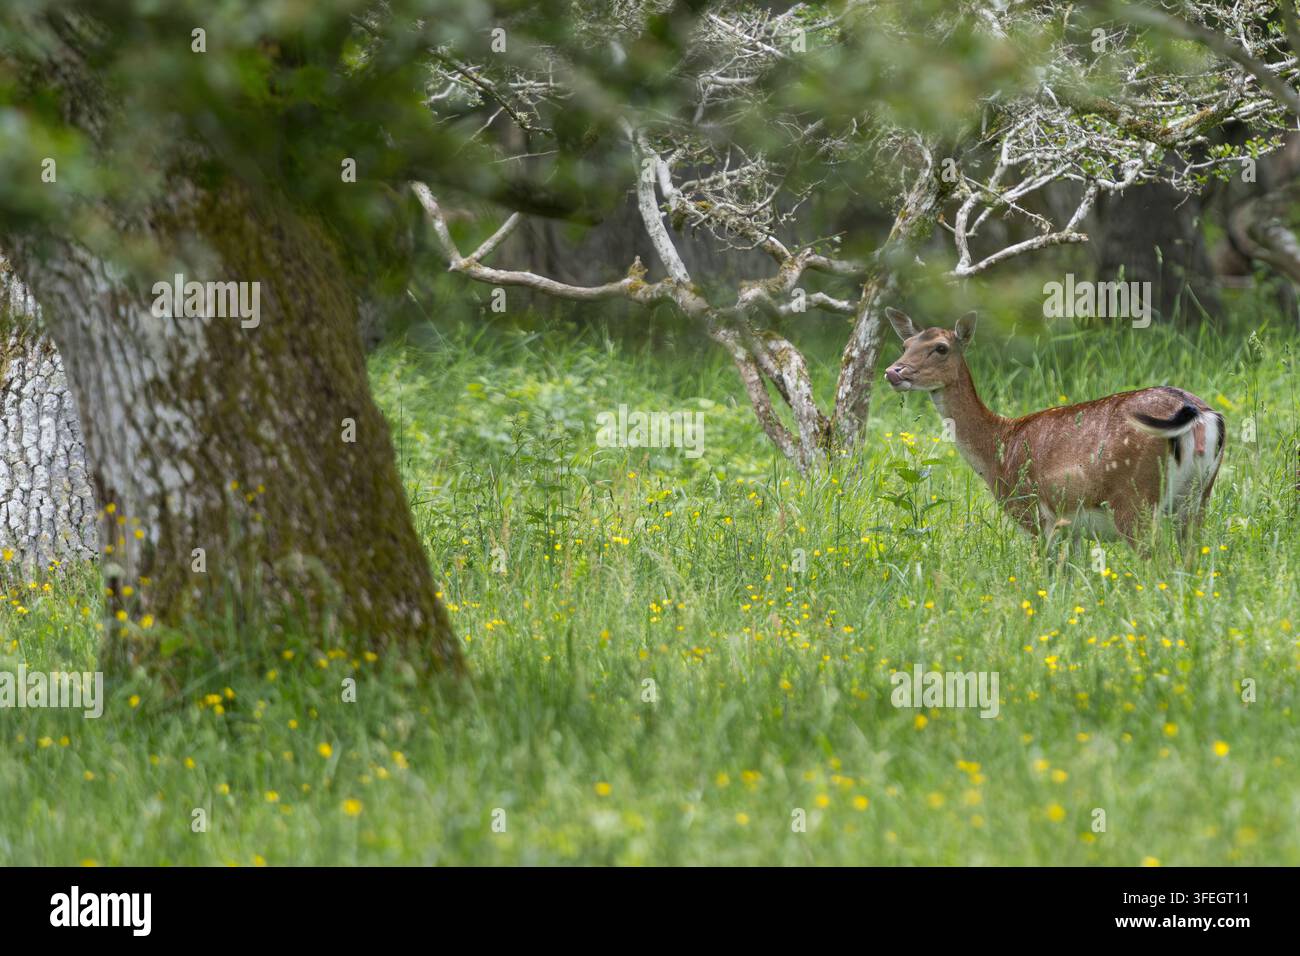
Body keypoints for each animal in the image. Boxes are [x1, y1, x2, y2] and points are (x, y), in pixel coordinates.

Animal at [882, 308, 1225, 544]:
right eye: (905, 344)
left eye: (941, 347)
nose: (893, 371)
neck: (998, 448)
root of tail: (1199, 413)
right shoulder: (1069, 529)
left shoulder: (1033, 512)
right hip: (1198, 498)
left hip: (1135, 499)